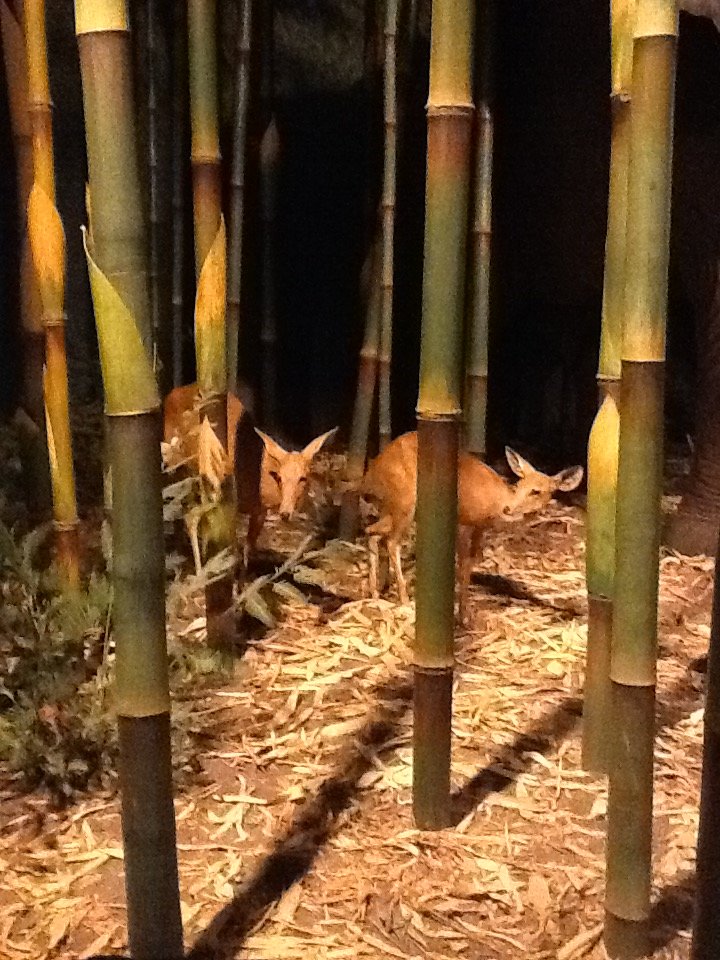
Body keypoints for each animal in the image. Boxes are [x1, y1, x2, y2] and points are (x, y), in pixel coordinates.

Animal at [162, 383, 336, 573]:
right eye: (280, 478)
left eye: (303, 478)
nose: (285, 513)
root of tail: (170, 395)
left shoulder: (259, 511)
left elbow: (247, 548)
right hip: (190, 468)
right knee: (189, 515)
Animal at [360, 431, 583, 622]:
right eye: (519, 485)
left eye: (536, 491)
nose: (509, 508)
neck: (495, 502)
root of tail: (369, 478)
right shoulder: (462, 521)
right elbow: (461, 567)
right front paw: (463, 617)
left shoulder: (479, 528)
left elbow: (470, 563)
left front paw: (465, 612)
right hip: (406, 502)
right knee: (391, 541)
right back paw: (404, 599)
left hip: (394, 509)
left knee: (372, 533)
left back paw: (376, 591)